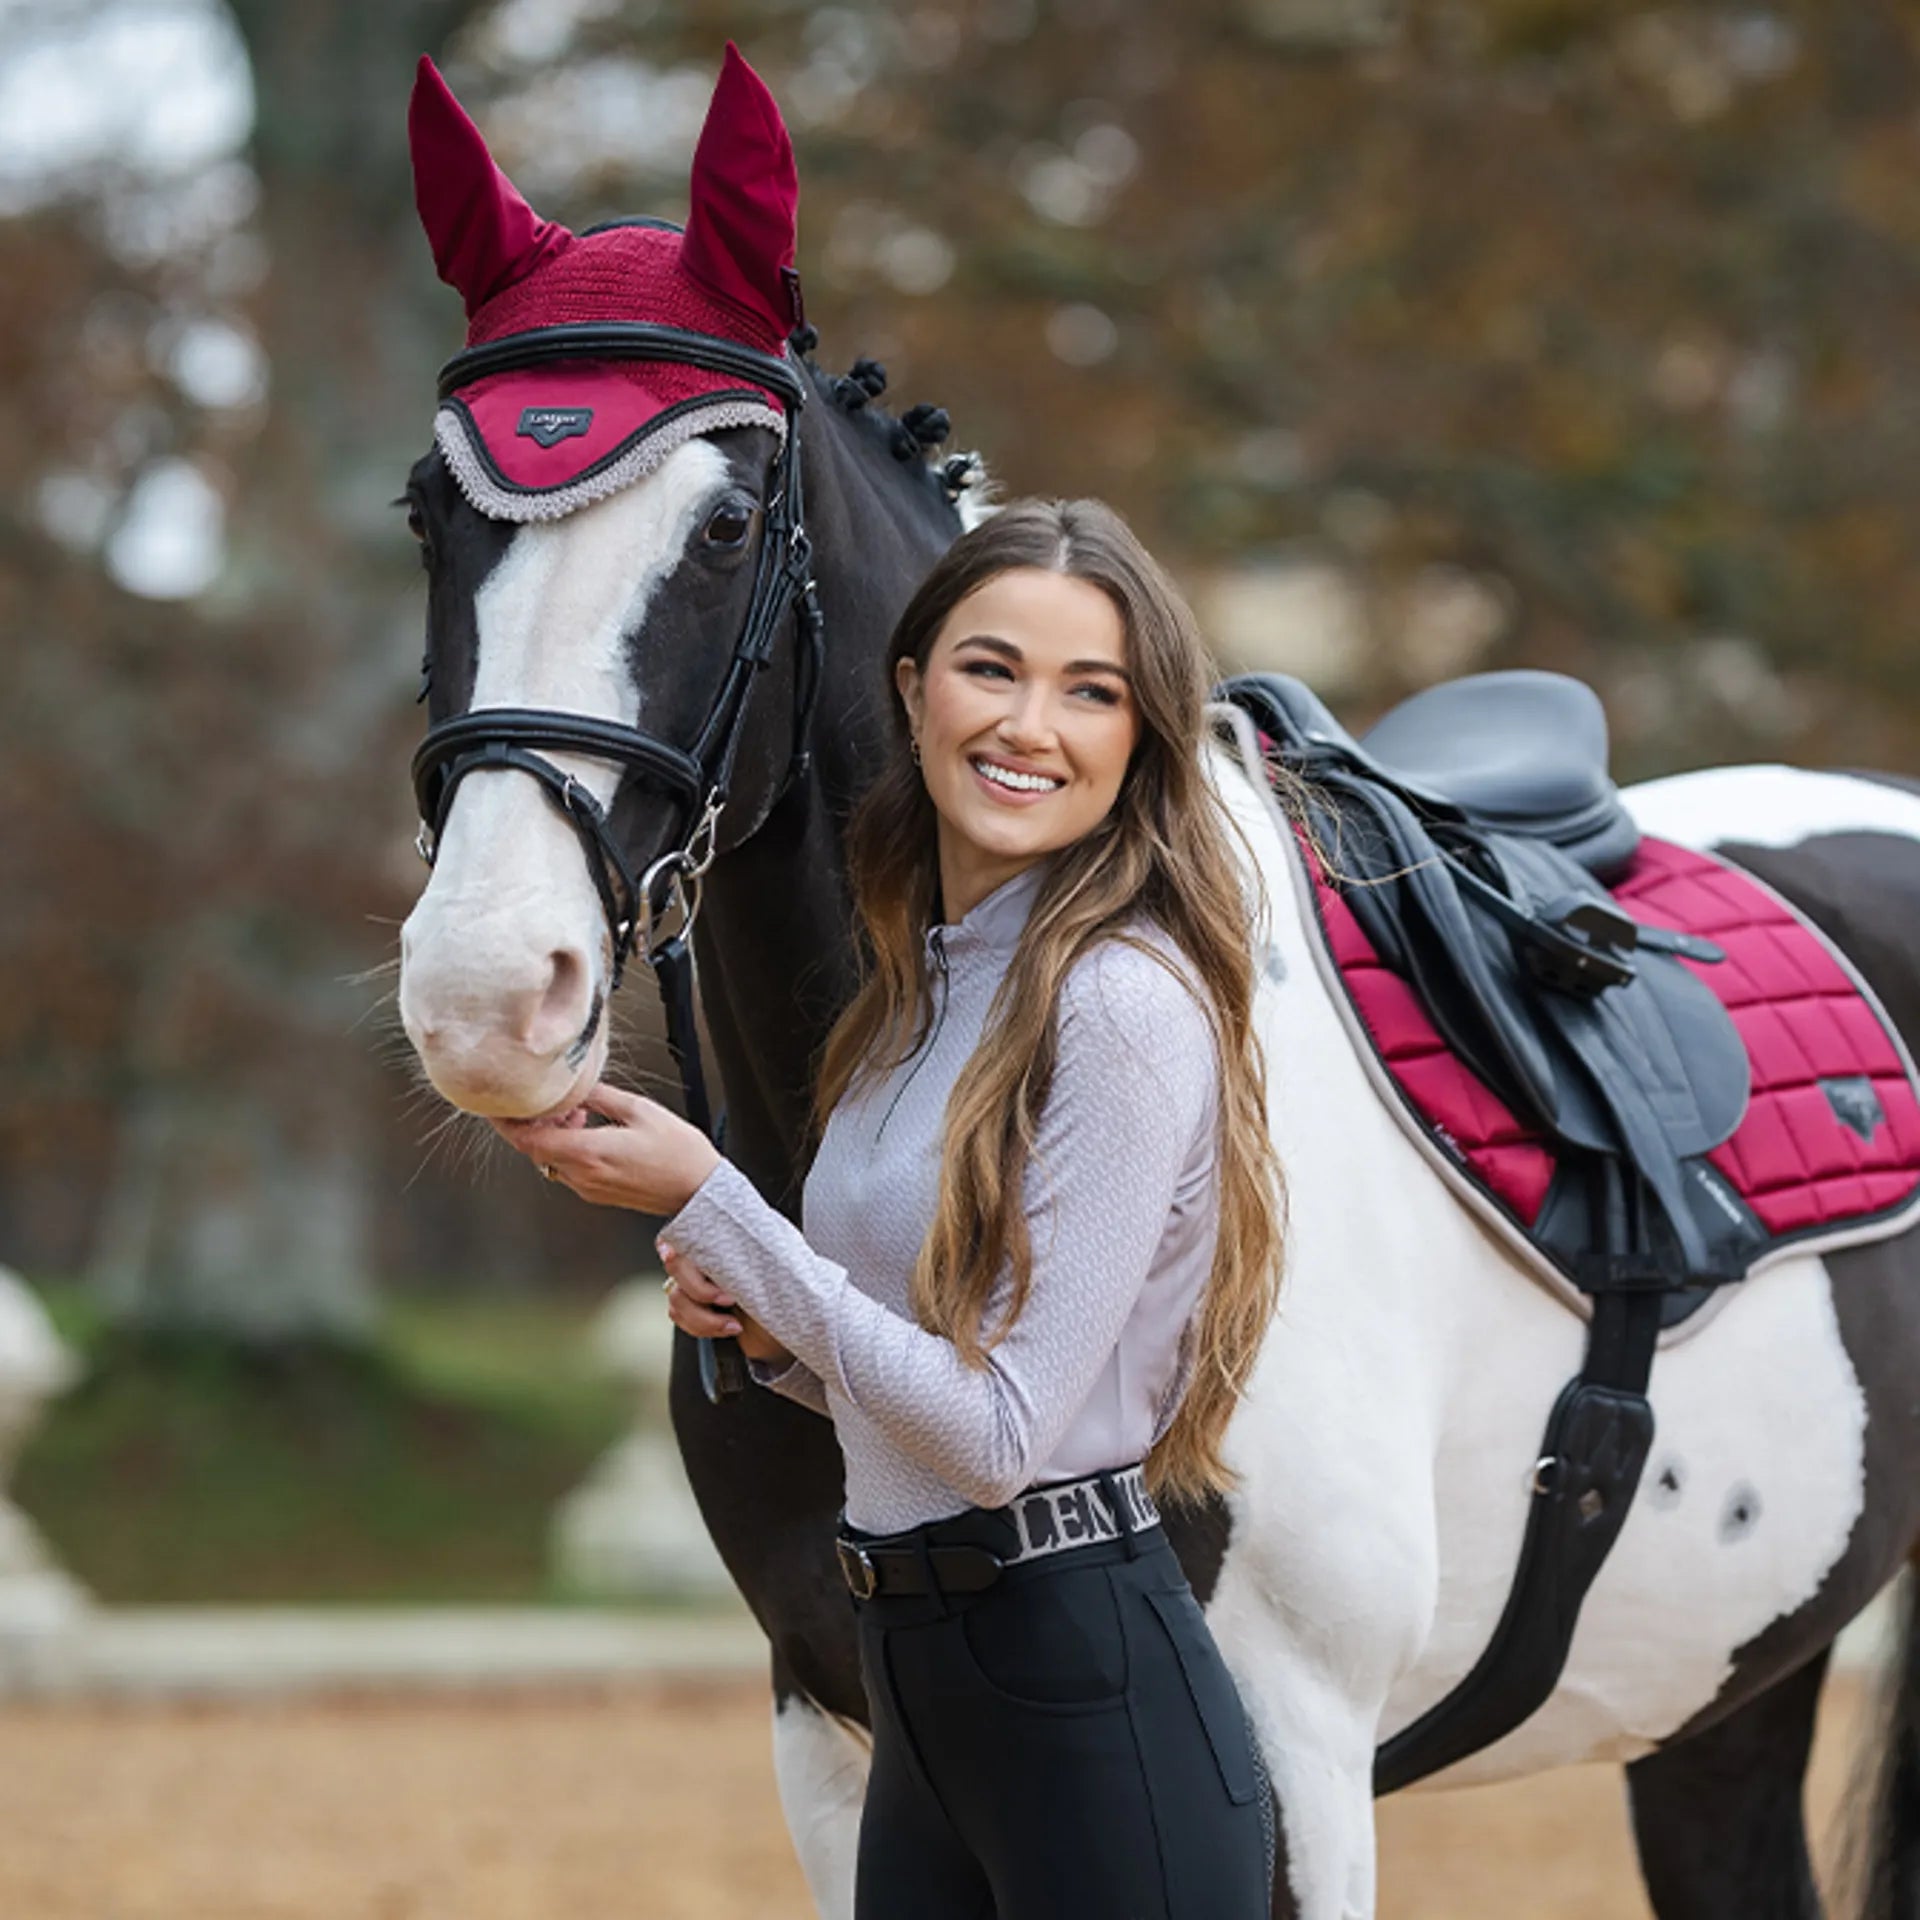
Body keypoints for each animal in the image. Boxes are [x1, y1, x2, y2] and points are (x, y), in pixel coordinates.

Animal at [392, 47, 1920, 1920]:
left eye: (731, 522)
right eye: (428, 514)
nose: (486, 987)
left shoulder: (1301, 1761)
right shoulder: (829, 1733)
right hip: (1727, 1702)